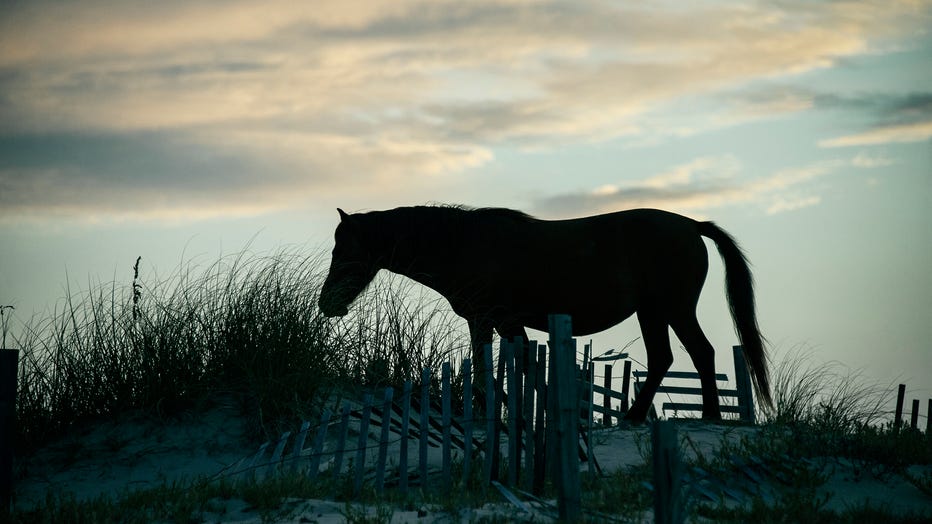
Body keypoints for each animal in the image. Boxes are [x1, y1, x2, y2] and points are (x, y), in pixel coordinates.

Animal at [316, 205, 768, 422]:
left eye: (344, 250)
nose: (327, 304)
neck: (461, 244)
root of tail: (692, 224)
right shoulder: (499, 323)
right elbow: (516, 367)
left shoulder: (491, 319)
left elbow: (494, 367)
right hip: (653, 312)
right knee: (667, 358)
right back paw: (639, 417)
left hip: (672, 308)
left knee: (699, 354)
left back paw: (704, 415)